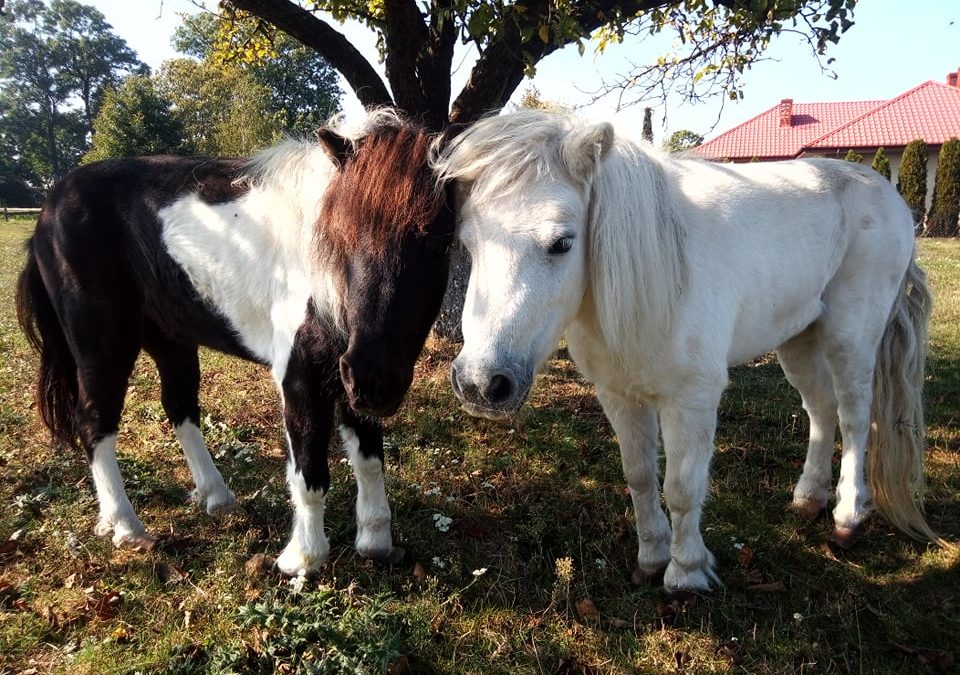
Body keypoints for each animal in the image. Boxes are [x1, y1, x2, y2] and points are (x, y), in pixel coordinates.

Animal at [16, 111, 456, 576]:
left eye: (439, 245)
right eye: (341, 235)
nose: (377, 382)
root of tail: (52, 202)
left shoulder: (348, 373)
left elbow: (370, 459)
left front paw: (375, 541)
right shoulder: (301, 376)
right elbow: (309, 473)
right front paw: (302, 558)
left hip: (171, 338)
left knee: (180, 408)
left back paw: (215, 496)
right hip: (102, 344)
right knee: (94, 421)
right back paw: (125, 527)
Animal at [436, 109, 952, 592]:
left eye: (562, 243)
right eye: (468, 244)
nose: (481, 384)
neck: (657, 275)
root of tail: (886, 193)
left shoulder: (692, 401)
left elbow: (682, 488)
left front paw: (685, 573)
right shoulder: (619, 396)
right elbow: (640, 476)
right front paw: (650, 559)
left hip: (851, 340)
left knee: (854, 418)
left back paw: (847, 516)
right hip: (798, 340)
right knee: (821, 412)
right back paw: (809, 497)